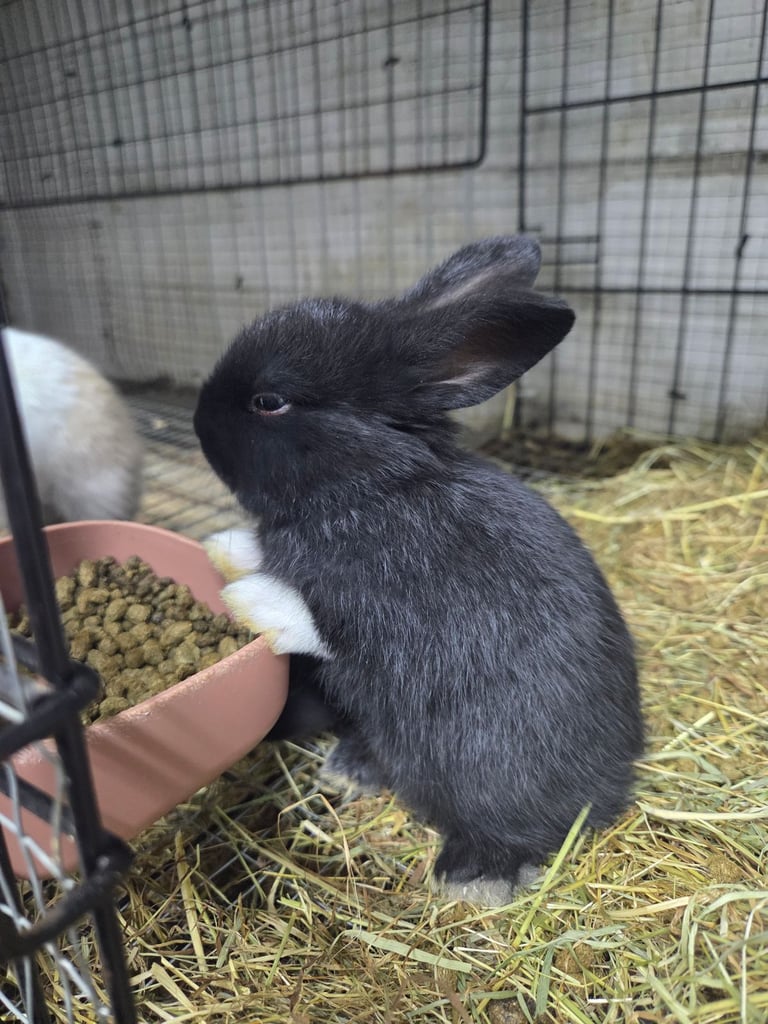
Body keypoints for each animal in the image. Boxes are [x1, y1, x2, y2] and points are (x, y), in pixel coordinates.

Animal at [193, 235, 644, 906]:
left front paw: (247, 599)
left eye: (268, 401)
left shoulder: (385, 616)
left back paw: (472, 876)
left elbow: (312, 616)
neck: (368, 489)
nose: (198, 422)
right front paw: (219, 547)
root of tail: (616, 782)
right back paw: (349, 770)